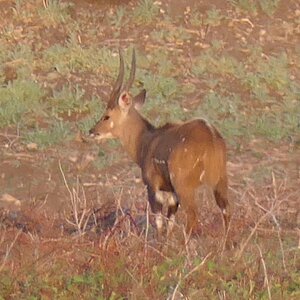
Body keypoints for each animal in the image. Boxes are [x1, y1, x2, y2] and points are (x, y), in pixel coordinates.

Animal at [89, 48, 230, 237]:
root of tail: (211, 136)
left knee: (193, 217)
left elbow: (159, 222)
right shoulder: (171, 193)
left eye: (106, 116)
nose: (92, 131)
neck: (147, 141)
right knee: (226, 212)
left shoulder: (153, 187)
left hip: (185, 187)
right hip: (220, 182)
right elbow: (170, 222)